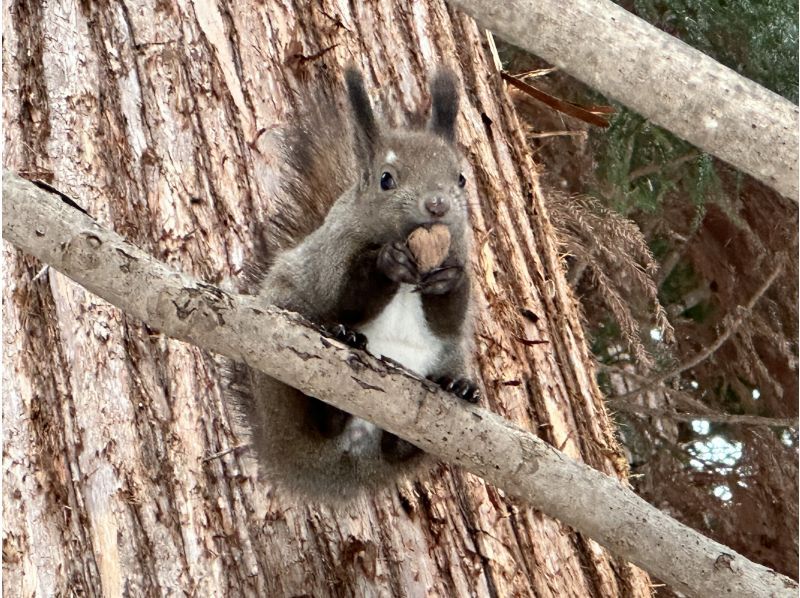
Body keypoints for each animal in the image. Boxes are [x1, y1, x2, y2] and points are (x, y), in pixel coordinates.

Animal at [230, 68, 482, 504]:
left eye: (462, 178)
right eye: (386, 179)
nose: (437, 204)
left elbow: (449, 319)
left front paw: (449, 279)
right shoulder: (330, 255)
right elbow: (342, 295)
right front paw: (385, 263)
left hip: (447, 362)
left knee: (400, 448)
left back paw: (455, 388)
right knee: (317, 411)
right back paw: (339, 369)